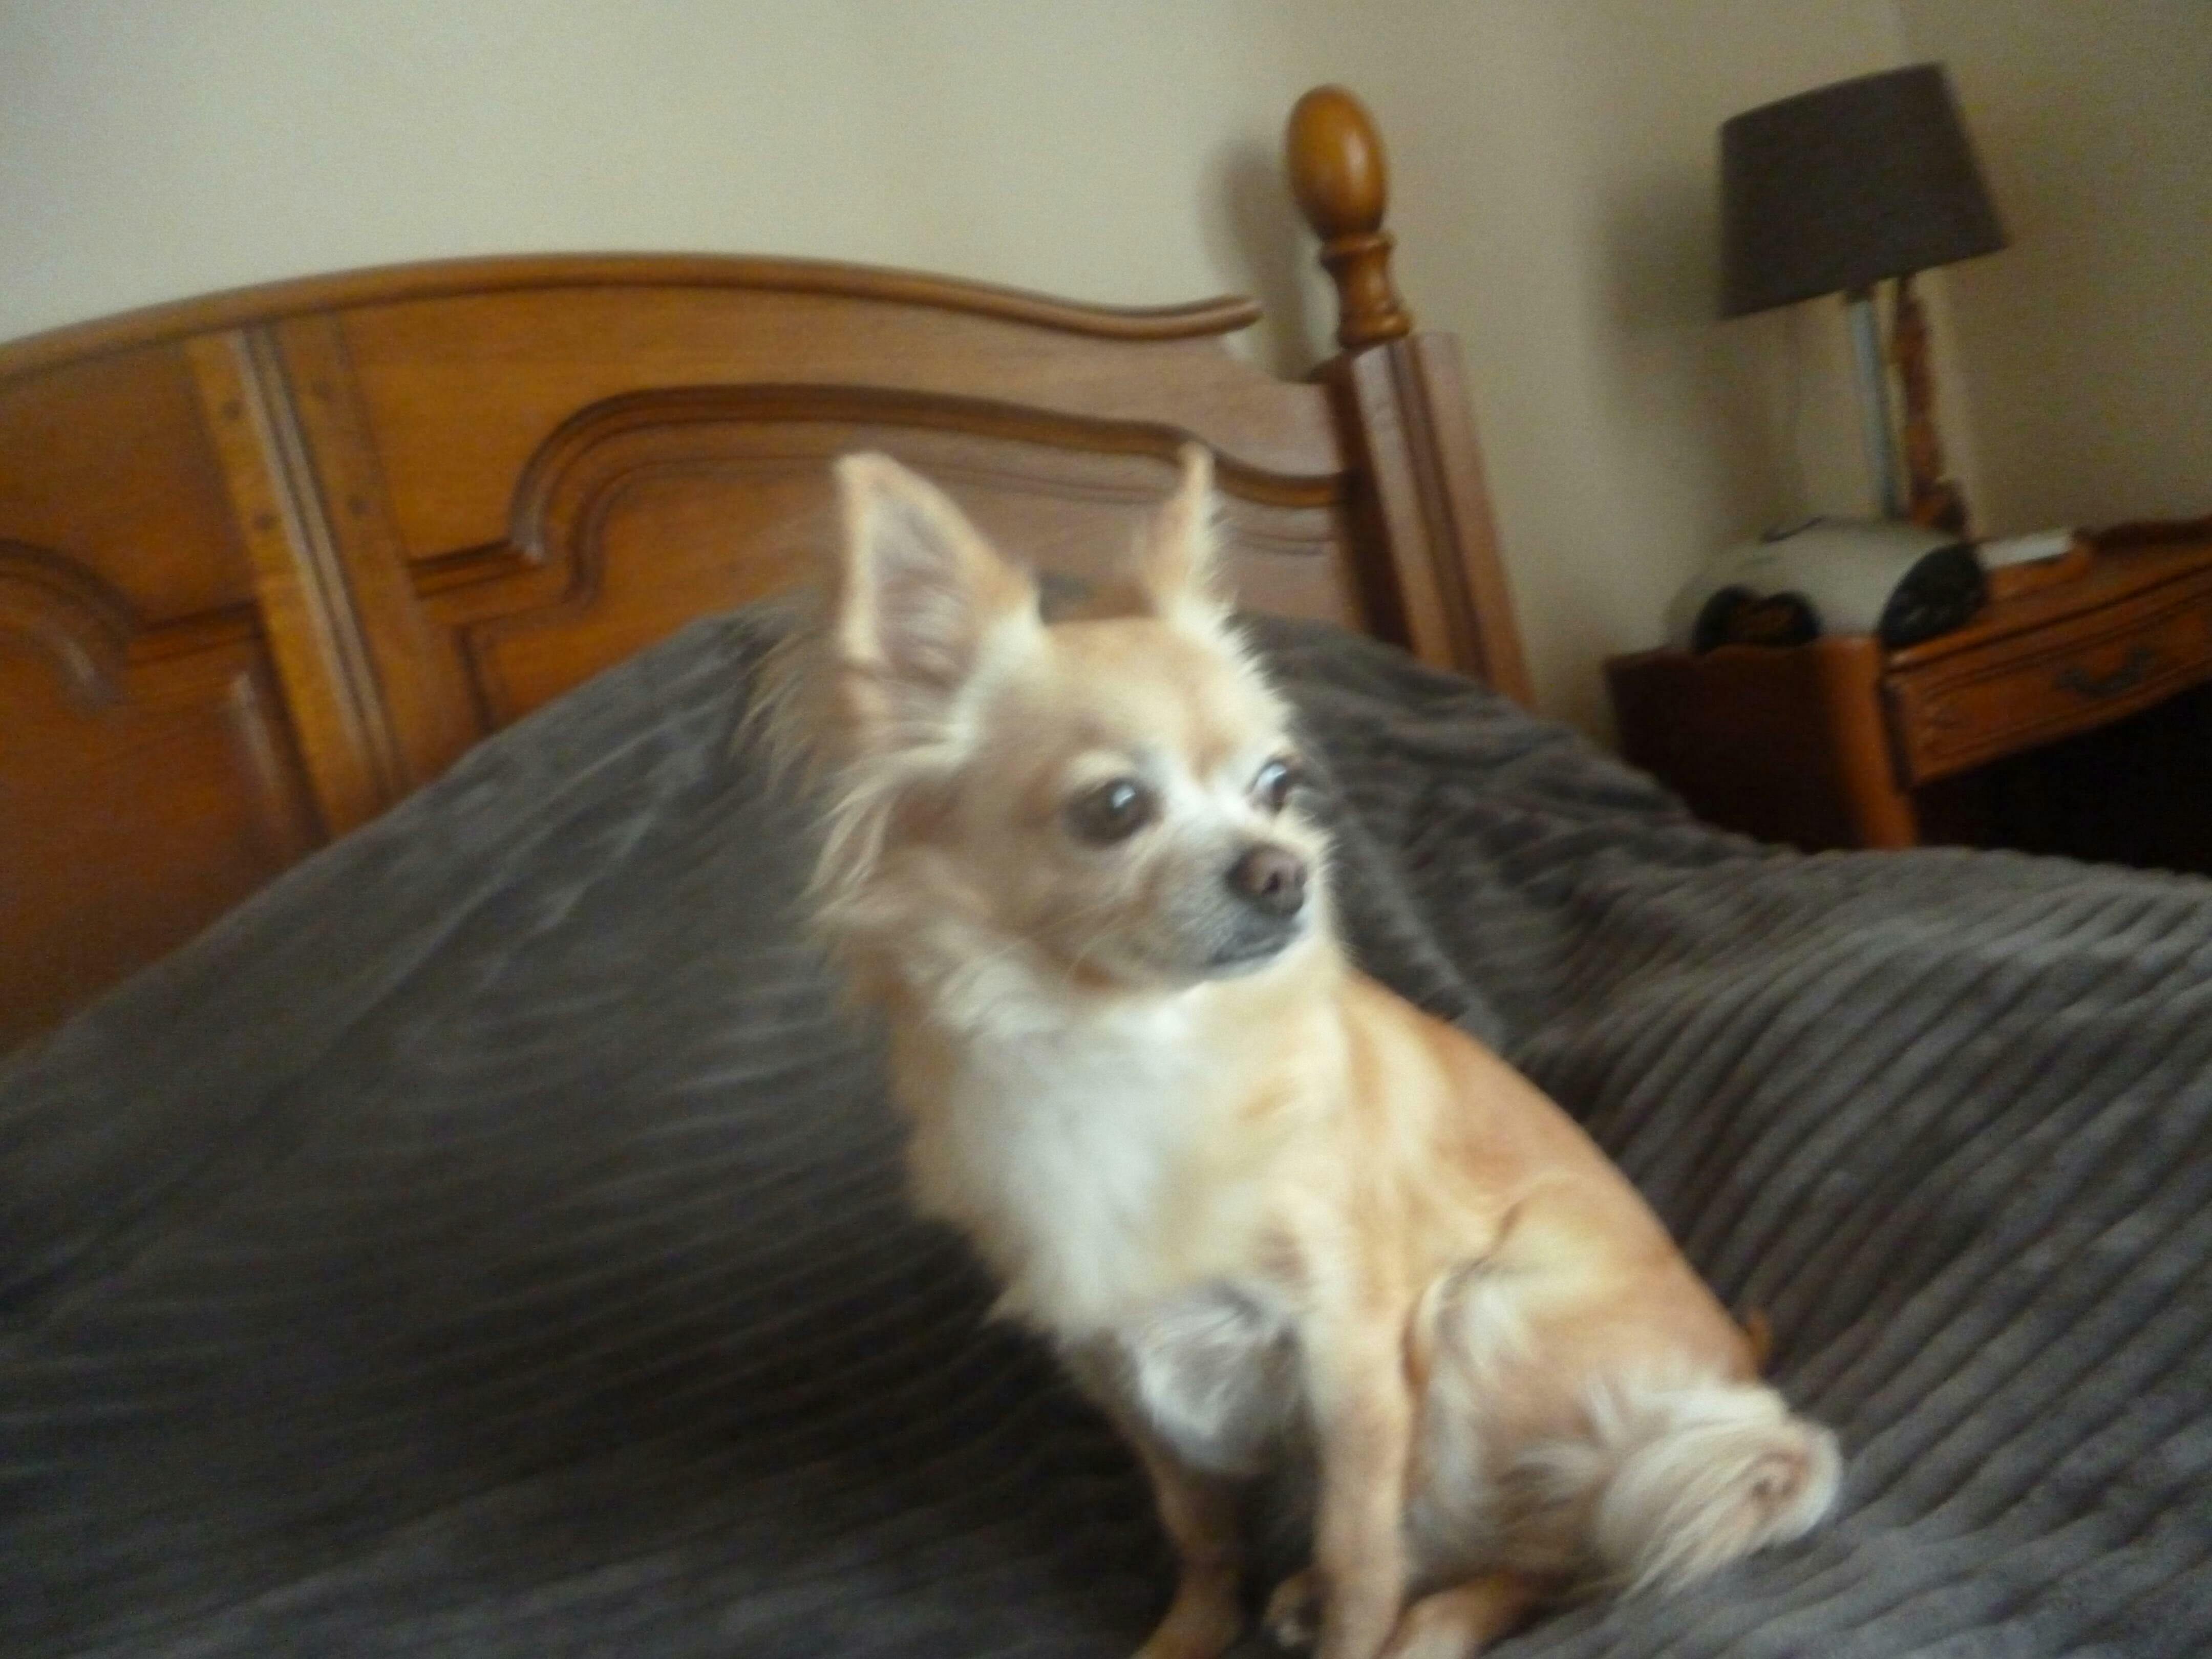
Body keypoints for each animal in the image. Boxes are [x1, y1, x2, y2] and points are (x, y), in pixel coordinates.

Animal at [768, 446, 1839, 1659]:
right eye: (1114, 807)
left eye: (1276, 785)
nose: (1283, 871)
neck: (1124, 1041)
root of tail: (1736, 1364)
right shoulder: (1116, 1365)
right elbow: (1196, 1529)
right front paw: (1194, 1632)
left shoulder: (1351, 1352)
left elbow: (1362, 1542)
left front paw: (1355, 1627)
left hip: (1491, 1315)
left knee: (1567, 1542)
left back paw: (1444, 1617)